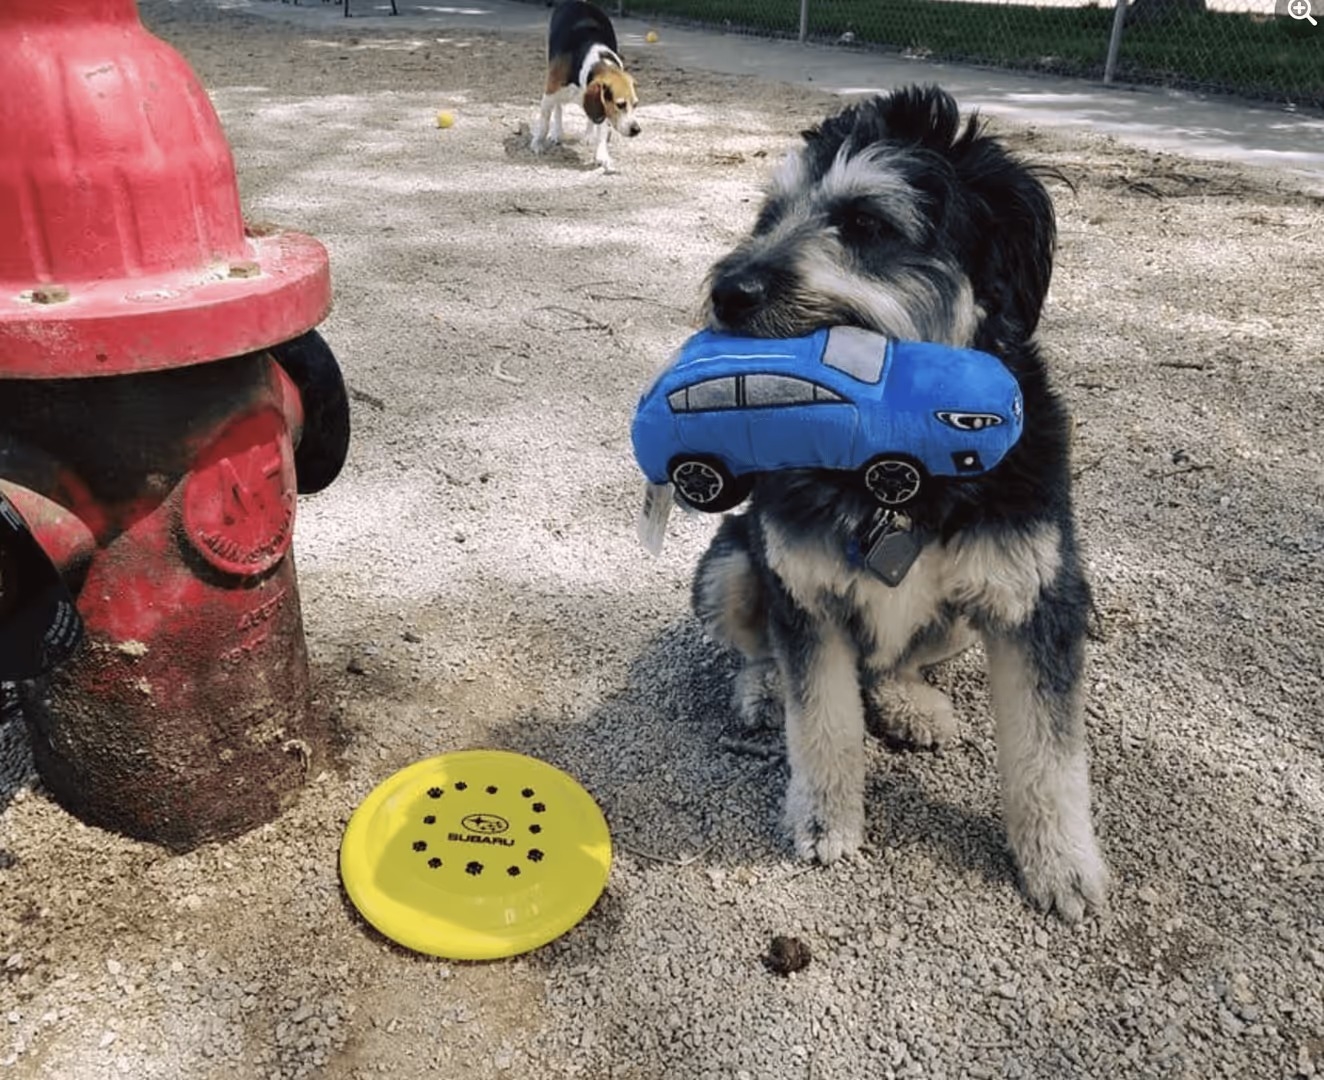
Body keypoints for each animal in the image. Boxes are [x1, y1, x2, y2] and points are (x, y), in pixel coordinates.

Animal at [693, 88, 1106, 926]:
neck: (895, 464)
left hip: (957, 618)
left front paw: (1063, 864)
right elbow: (822, 721)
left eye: (866, 223)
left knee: (894, 665)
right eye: (768, 214)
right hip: (729, 565)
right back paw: (764, 686)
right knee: (761, 648)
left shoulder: (1038, 596)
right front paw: (825, 821)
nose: (726, 290)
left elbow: (1050, 753)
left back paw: (911, 702)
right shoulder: (803, 590)